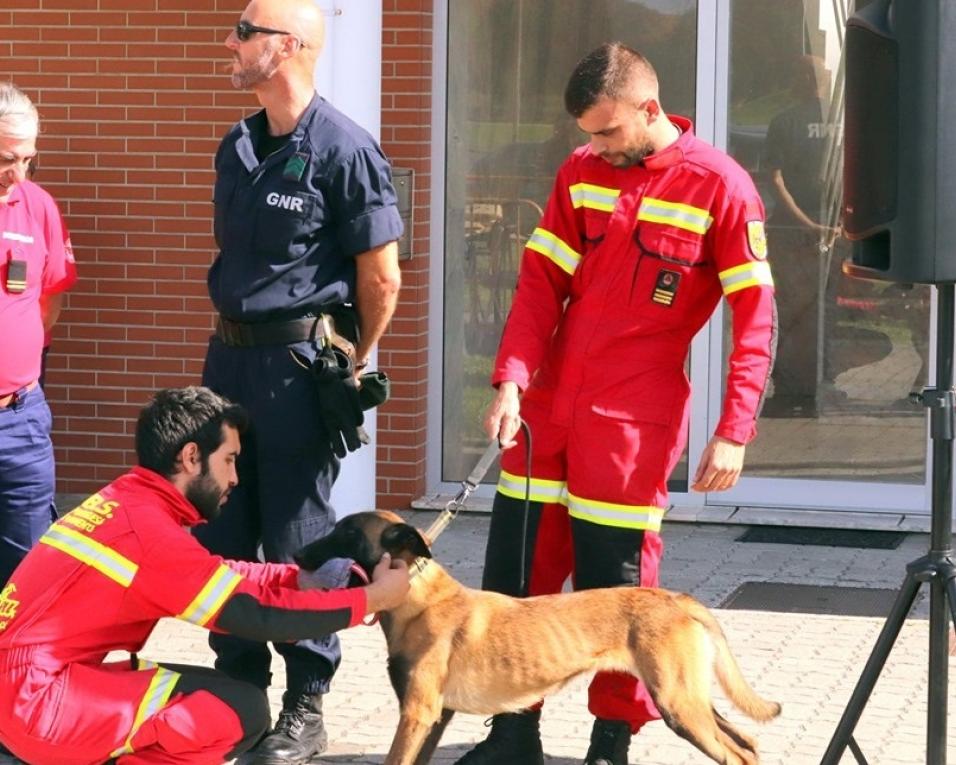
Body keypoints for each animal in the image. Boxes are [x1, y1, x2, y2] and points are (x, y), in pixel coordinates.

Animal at [296, 508, 780, 764]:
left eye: (347, 533)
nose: (298, 554)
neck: (419, 598)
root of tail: (677, 599)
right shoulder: (434, 717)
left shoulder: (417, 713)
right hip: (688, 699)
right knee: (748, 745)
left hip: (678, 705)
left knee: (735, 754)